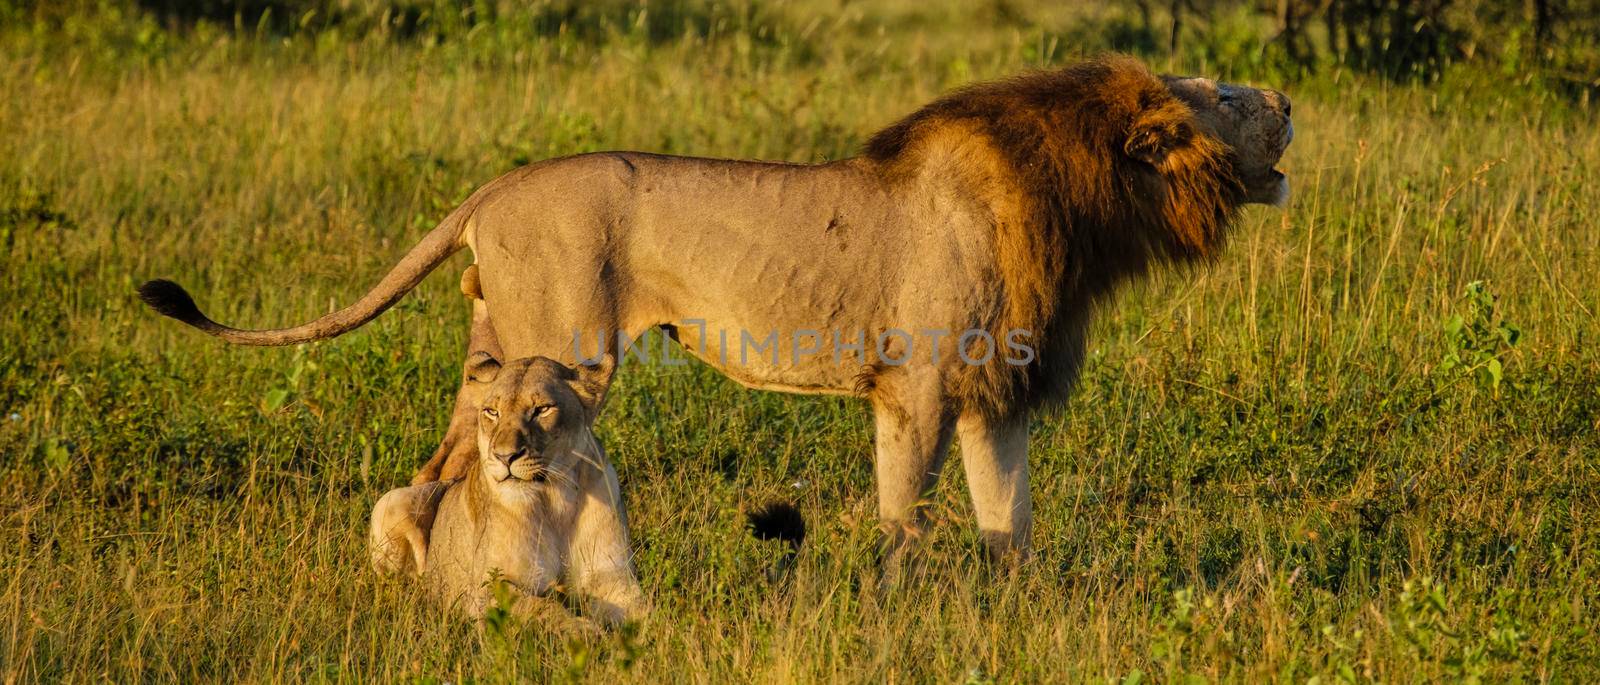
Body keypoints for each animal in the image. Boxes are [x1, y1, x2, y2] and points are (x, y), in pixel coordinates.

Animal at [144, 57, 1292, 563]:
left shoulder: (992, 393)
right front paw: (902, 606)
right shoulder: (916, 386)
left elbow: (1006, 519)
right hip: (557, 349)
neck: (1083, 201)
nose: (1287, 100)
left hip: (498, 353)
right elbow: (904, 517)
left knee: (434, 469)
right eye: (1228, 99)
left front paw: (1012, 611)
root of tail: (494, 187)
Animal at [371, 353, 646, 627]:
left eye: (542, 409)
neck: (555, 501)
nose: (505, 457)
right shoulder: (486, 588)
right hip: (391, 501)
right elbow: (545, 609)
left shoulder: (612, 576)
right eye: (492, 412)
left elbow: (647, 612)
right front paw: (589, 632)